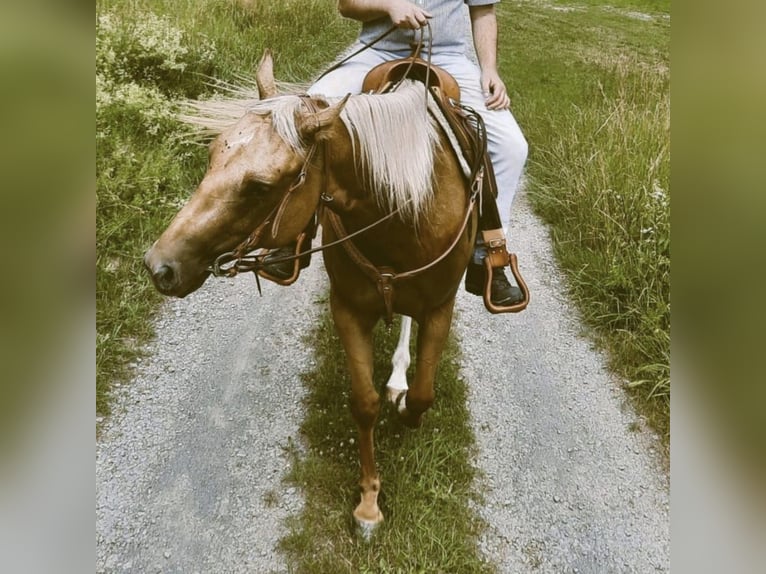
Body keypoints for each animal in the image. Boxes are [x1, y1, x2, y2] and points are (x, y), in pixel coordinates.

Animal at [143, 51, 476, 536]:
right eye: (212, 153)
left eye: (260, 186)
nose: (160, 266)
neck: (402, 215)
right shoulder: (348, 309)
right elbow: (364, 403)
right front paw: (369, 502)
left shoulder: (439, 308)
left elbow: (422, 396)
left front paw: (406, 416)